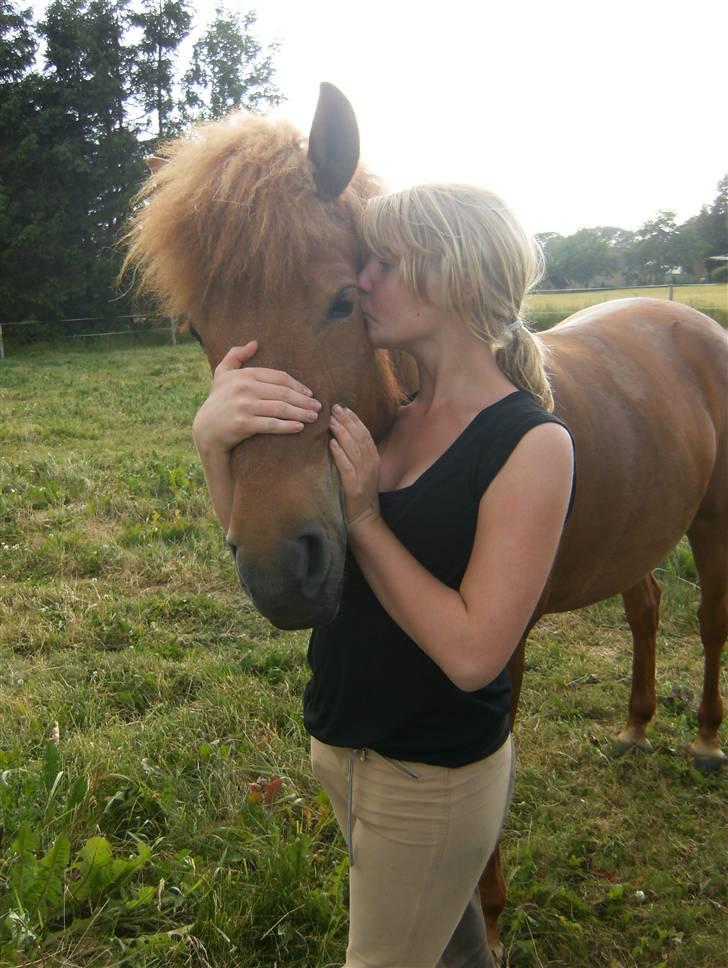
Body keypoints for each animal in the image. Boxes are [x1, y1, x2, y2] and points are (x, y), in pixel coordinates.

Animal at [122, 83, 724, 952]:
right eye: (202, 330)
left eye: (346, 300)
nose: (281, 570)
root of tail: (685, 320)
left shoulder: (503, 646)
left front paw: (493, 915)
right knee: (645, 606)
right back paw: (637, 726)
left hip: (712, 523)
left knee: (709, 619)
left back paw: (705, 738)